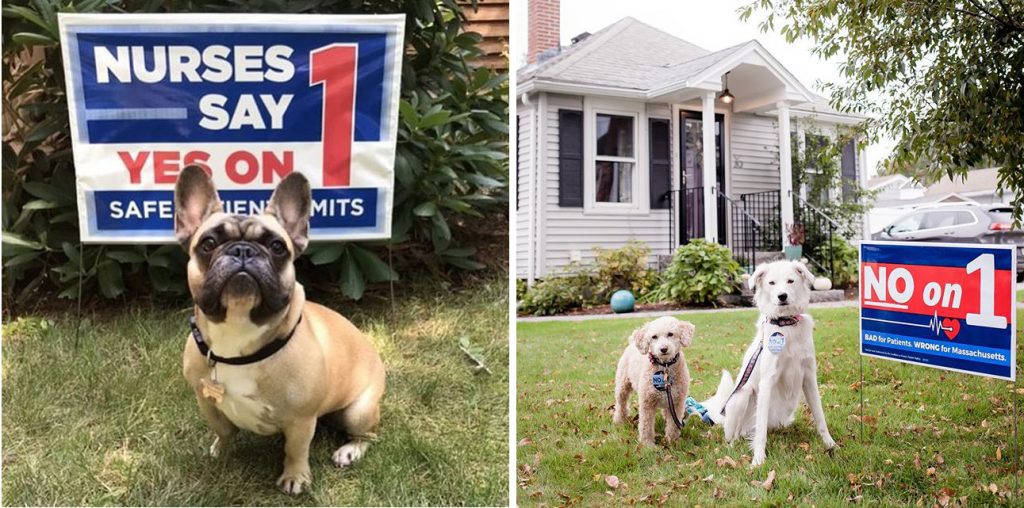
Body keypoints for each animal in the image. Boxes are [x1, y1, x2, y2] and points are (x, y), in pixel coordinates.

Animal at [704, 260, 839, 467]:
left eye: (790, 281)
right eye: (772, 283)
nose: (782, 296)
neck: (786, 324)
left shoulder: (809, 377)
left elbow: (820, 417)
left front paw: (830, 444)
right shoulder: (767, 381)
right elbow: (761, 432)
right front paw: (758, 460)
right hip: (742, 395)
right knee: (735, 434)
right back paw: (733, 446)